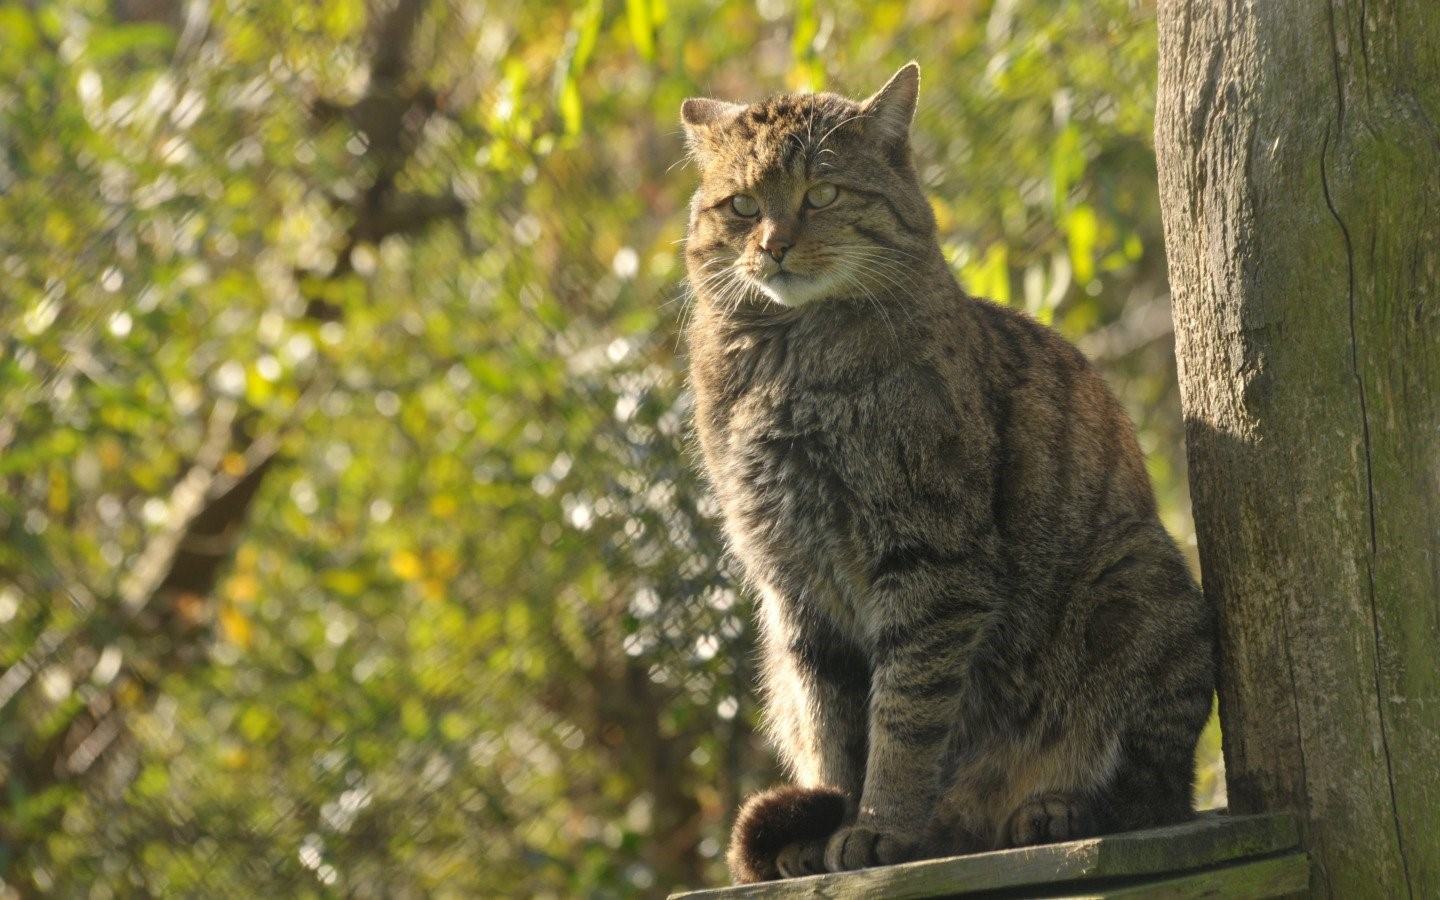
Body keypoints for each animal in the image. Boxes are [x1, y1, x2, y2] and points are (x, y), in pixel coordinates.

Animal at [676, 66, 1215, 881]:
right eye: (741, 205)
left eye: (822, 194)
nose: (772, 246)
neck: (787, 366)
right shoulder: (794, 587)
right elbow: (834, 727)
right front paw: (834, 822)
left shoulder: (930, 564)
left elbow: (903, 717)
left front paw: (877, 828)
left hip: (1134, 586)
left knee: (1149, 790)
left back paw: (1049, 809)